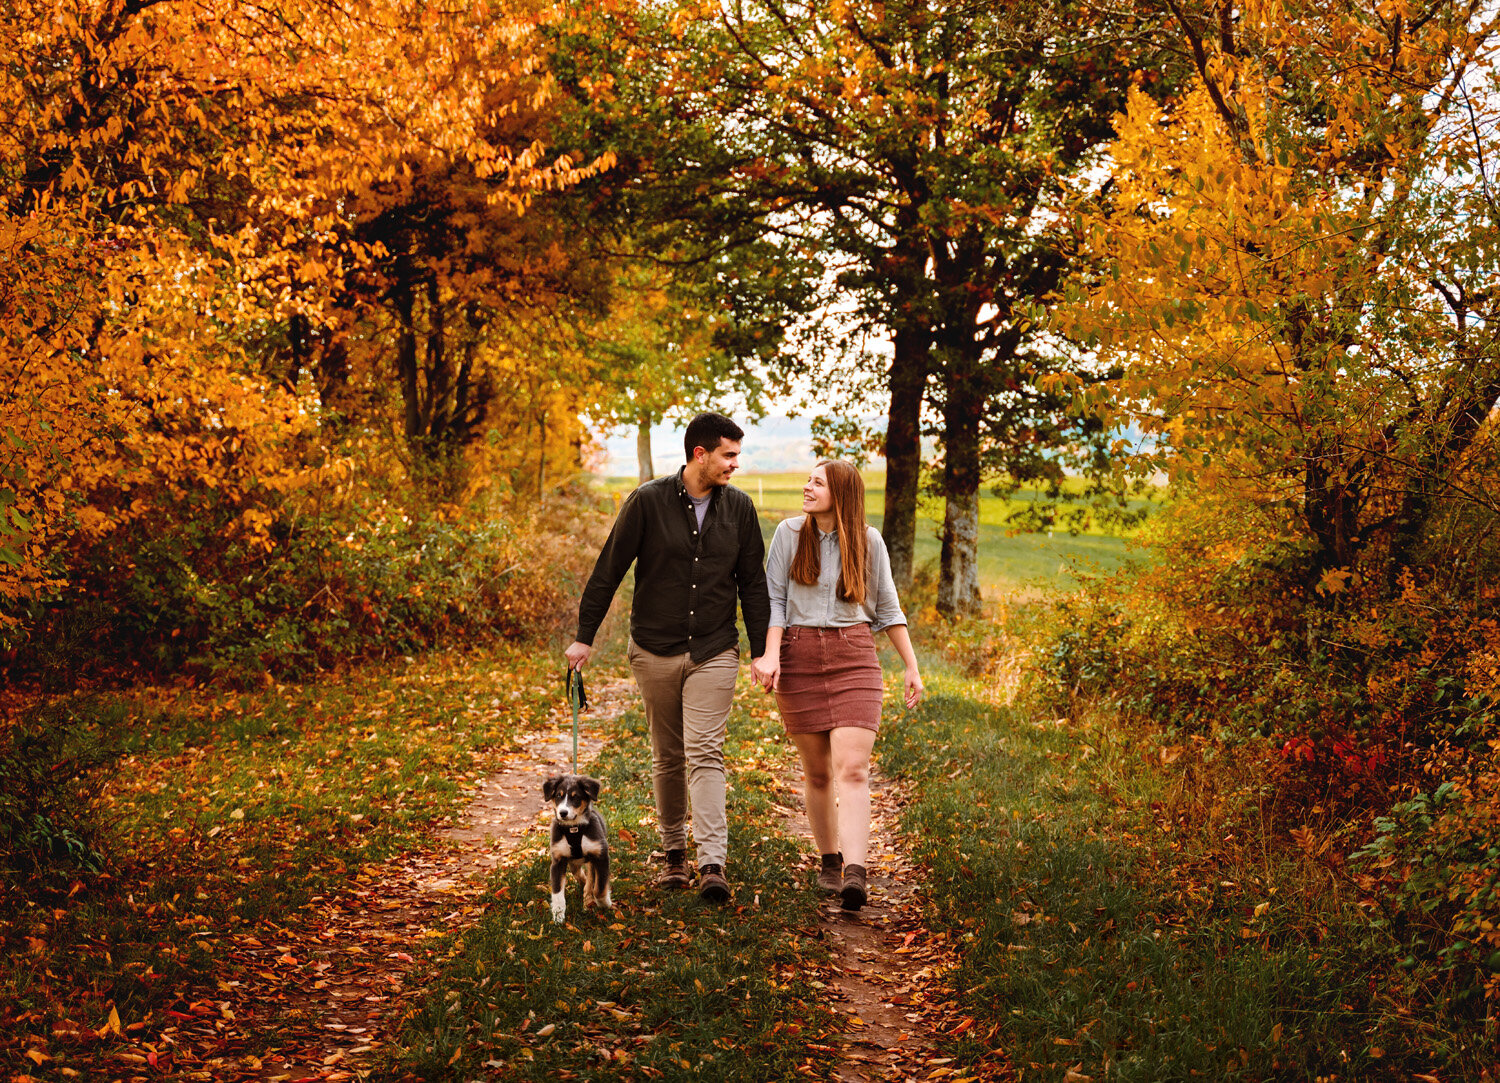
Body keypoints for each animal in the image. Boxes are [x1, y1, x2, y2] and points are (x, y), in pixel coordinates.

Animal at [546, 768, 609, 918]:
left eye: (575, 797)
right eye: (558, 796)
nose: (563, 813)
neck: (574, 828)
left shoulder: (601, 855)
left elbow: (599, 888)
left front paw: (605, 903)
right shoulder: (558, 860)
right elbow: (557, 891)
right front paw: (558, 915)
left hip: (591, 861)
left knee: (591, 880)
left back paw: (588, 900)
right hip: (573, 863)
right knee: (580, 875)